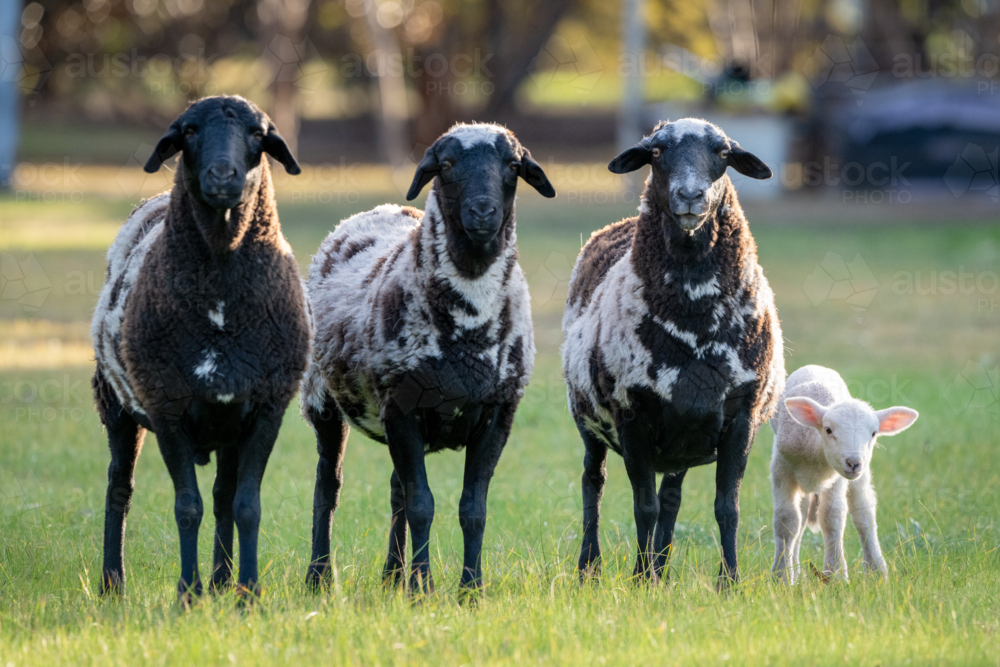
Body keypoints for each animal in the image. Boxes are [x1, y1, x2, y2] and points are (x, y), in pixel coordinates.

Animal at [91, 95, 309, 601]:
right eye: (189, 131)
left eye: (257, 133)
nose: (223, 176)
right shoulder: (167, 406)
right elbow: (186, 507)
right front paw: (187, 594)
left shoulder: (265, 407)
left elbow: (246, 506)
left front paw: (247, 592)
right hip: (115, 401)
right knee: (119, 488)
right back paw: (113, 582)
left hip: (228, 423)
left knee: (224, 497)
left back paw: (222, 580)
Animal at [301, 122, 556, 595]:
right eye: (447, 164)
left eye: (513, 165)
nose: (483, 212)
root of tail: (382, 209)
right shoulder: (402, 409)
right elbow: (423, 504)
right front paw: (422, 589)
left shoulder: (498, 413)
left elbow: (472, 509)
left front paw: (470, 590)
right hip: (322, 396)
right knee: (328, 486)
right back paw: (320, 577)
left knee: (395, 488)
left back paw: (391, 576)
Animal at [561, 118, 783, 587]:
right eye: (657, 152)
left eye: (722, 152)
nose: (691, 195)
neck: (694, 317)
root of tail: (621, 222)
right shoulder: (633, 415)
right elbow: (642, 506)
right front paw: (638, 580)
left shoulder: (742, 415)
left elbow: (726, 509)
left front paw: (728, 582)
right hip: (588, 419)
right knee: (594, 482)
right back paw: (591, 568)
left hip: (682, 436)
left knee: (672, 496)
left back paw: (661, 570)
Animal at [771, 364, 919, 583]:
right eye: (828, 430)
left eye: (873, 433)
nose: (854, 462)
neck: (815, 455)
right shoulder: (781, 469)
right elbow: (786, 520)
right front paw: (781, 576)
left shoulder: (837, 478)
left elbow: (832, 518)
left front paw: (835, 576)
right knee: (803, 515)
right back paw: (794, 569)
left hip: (858, 478)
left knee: (863, 513)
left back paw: (877, 570)